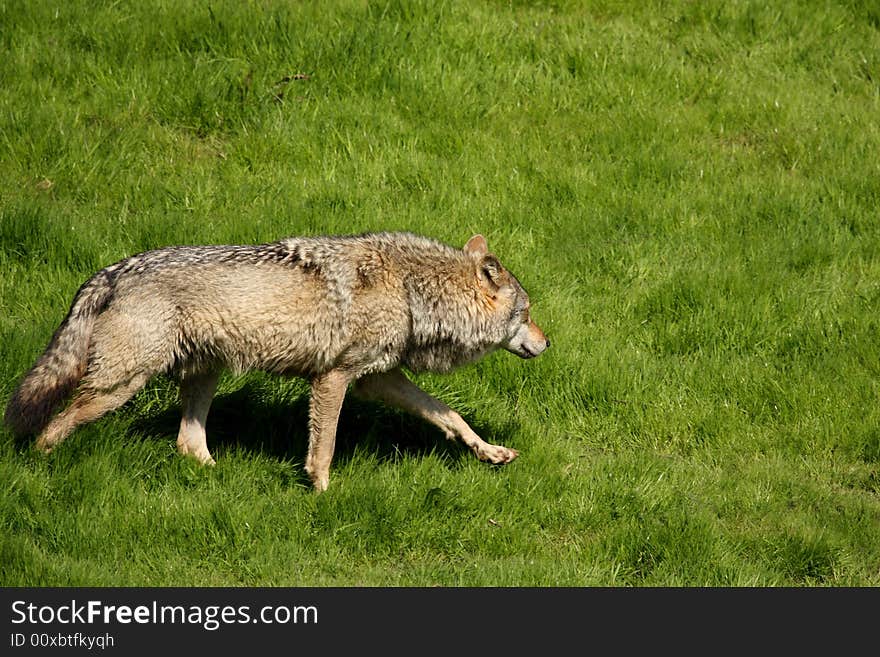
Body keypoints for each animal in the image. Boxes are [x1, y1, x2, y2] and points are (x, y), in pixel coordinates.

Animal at [5, 231, 552, 486]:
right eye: (527, 314)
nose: (548, 343)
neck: (411, 289)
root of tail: (114, 270)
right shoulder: (333, 378)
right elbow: (324, 448)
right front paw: (323, 494)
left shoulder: (377, 379)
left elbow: (451, 416)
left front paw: (490, 452)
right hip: (120, 387)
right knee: (54, 426)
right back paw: (40, 471)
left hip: (205, 375)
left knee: (187, 443)